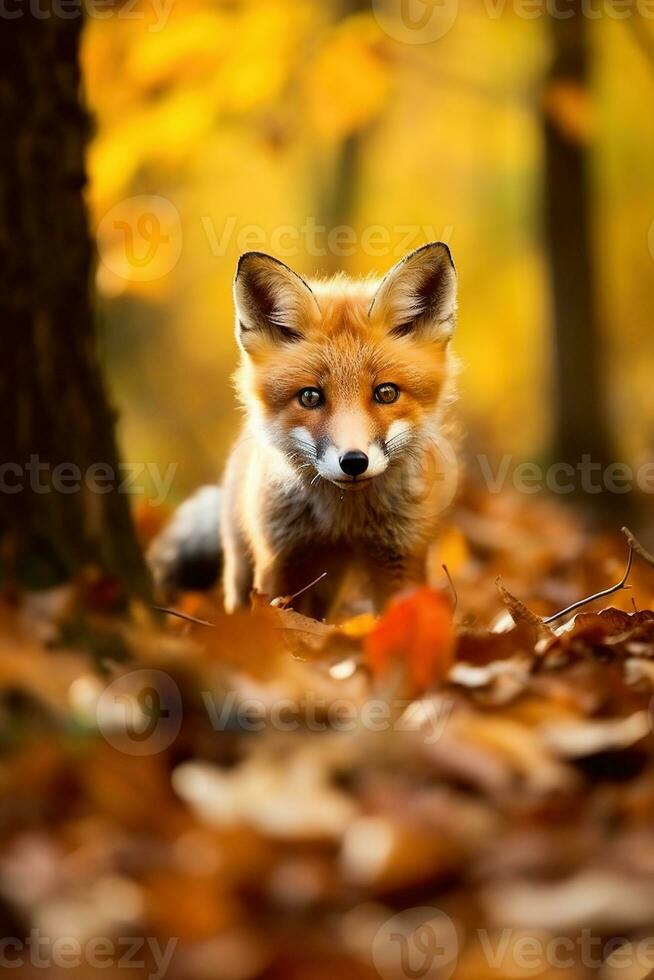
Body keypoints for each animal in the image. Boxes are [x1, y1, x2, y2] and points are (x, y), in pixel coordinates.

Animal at [152, 241, 464, 616]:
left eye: (386, 393)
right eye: (310, 396)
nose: (354, 462)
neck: (345, 520)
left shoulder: (400, 554)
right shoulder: (281, 558)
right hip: (249, 566)